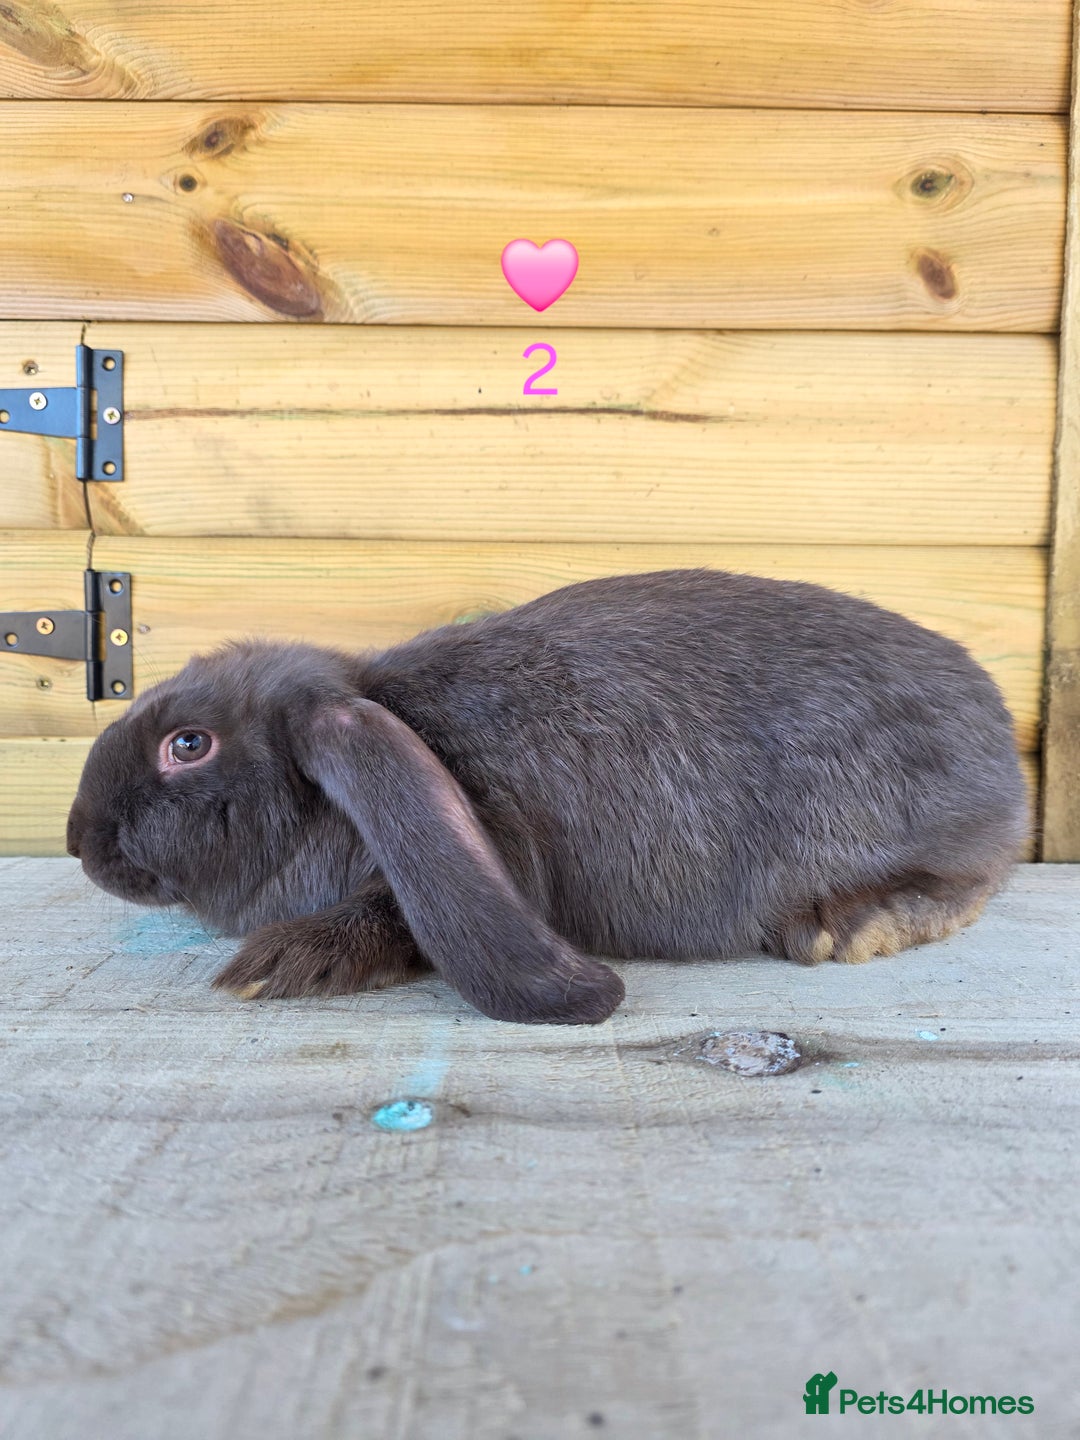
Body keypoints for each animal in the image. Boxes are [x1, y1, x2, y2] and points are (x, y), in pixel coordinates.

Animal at [66, 568, 1029, 1025]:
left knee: (972, 880)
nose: (79, 840)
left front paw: (279, 962)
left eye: (188, 744)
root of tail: (998, 726)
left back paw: (848, 924)